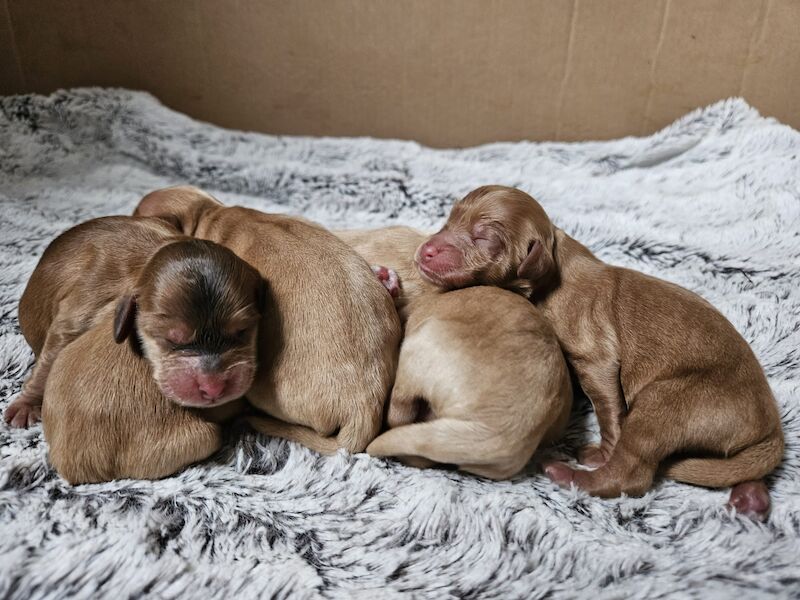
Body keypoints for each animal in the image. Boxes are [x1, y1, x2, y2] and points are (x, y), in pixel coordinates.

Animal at [4, 213, 264, 428]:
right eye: (172, 339)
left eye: (242, 332)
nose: (213, 388)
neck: (145, 265)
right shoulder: (82, 311)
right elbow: (50, 358)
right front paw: (26, 404)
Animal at [416, 185, 784, 516]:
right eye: (450, 219)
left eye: (484, 238)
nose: (426, 250)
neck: (554, 267)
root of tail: (771, 427)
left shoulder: (596, 358)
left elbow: (608, 409)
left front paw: (604, 452)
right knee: (739, 469)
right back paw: (751, 499)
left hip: (669, 402)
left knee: (632, 474)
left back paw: (569, 475)